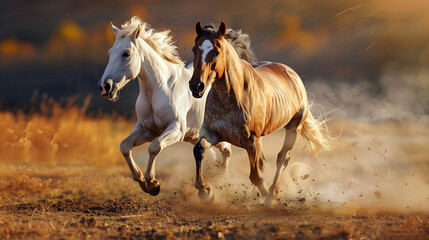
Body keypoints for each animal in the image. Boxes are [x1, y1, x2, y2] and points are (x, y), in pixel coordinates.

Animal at [98, 17, 231, 197]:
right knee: (213, 154)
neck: (160, 89)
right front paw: (141, 180)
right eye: (110, 53)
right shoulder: (146, 129)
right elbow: (124, 146)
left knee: (226, 151)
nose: (105, 86)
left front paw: (152, 183)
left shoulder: (176, 130)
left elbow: (154, 147)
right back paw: (206, 188)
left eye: (126, 53)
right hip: (196, 136)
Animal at [188, 22, 332, 204]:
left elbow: (256, 176)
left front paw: (265, 194)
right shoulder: (213, 133)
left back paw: (271, 196)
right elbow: (199, 150)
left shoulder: (251, 140)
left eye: (216, 51)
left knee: (282, 159)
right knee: (265, 162)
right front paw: (206, 192)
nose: (196, 86)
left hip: (293, 129)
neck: (230, 98)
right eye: (195, 49)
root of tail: (291, 74)